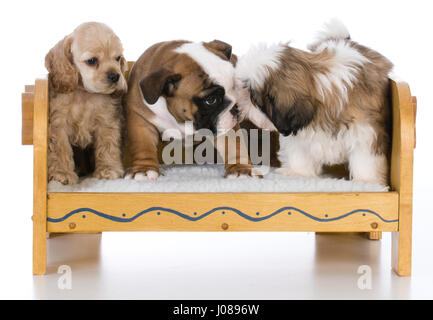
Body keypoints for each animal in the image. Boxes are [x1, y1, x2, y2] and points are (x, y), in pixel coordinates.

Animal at [45, 21, 126, 184]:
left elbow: (108, 145)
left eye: (118, 58)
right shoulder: (58, 124)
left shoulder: (106, 121)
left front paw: (108, 170)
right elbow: (60, 149)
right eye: (92, 61)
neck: (84, 93)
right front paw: (62, 173)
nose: (115, 76)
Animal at [124, 39, 253, 180]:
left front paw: (240, 169)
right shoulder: (141, 120)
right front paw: (144, 170)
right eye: (211, 100)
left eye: (238, 89)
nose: (236, 107)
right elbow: (143, 146)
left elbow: (233, 146)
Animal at [235, 20, 394, 184]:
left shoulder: (365, 132)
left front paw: (366, 180)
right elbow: (299, 154)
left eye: (253, 97)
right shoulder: (299, 134)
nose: (238, 103)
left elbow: (364, 159)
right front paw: (298, 172)